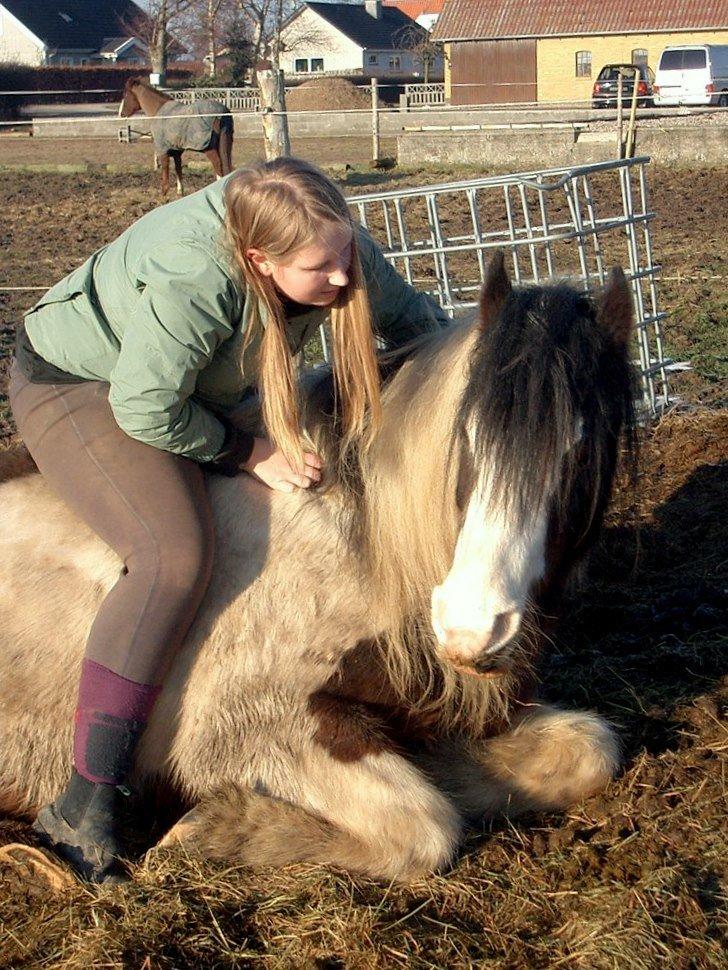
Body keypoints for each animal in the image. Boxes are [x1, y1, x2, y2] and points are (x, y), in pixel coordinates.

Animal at [0, 255, 636, 884]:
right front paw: (211, 826)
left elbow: (590, 747)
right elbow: (425, 826)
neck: (363, 546)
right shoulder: (257, 728)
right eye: (467, 435)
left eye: (581, 450)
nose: (470, 628)